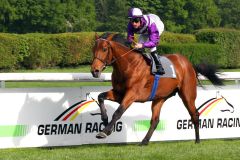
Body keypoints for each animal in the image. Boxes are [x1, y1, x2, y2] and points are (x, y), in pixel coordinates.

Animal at [90, 32, 223, 145]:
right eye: (93, 49)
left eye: (104, 49)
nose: (94, 71)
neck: (128, 65)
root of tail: (189, 64)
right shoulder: (119, 93)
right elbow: (100, 97)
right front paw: (105, 121)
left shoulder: (132, 94)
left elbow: (118, 112)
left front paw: (104, 131)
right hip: (160, 98)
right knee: (155, 120)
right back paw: (144, 141)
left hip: (187, 94)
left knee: (194, 114)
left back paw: (197, 140)